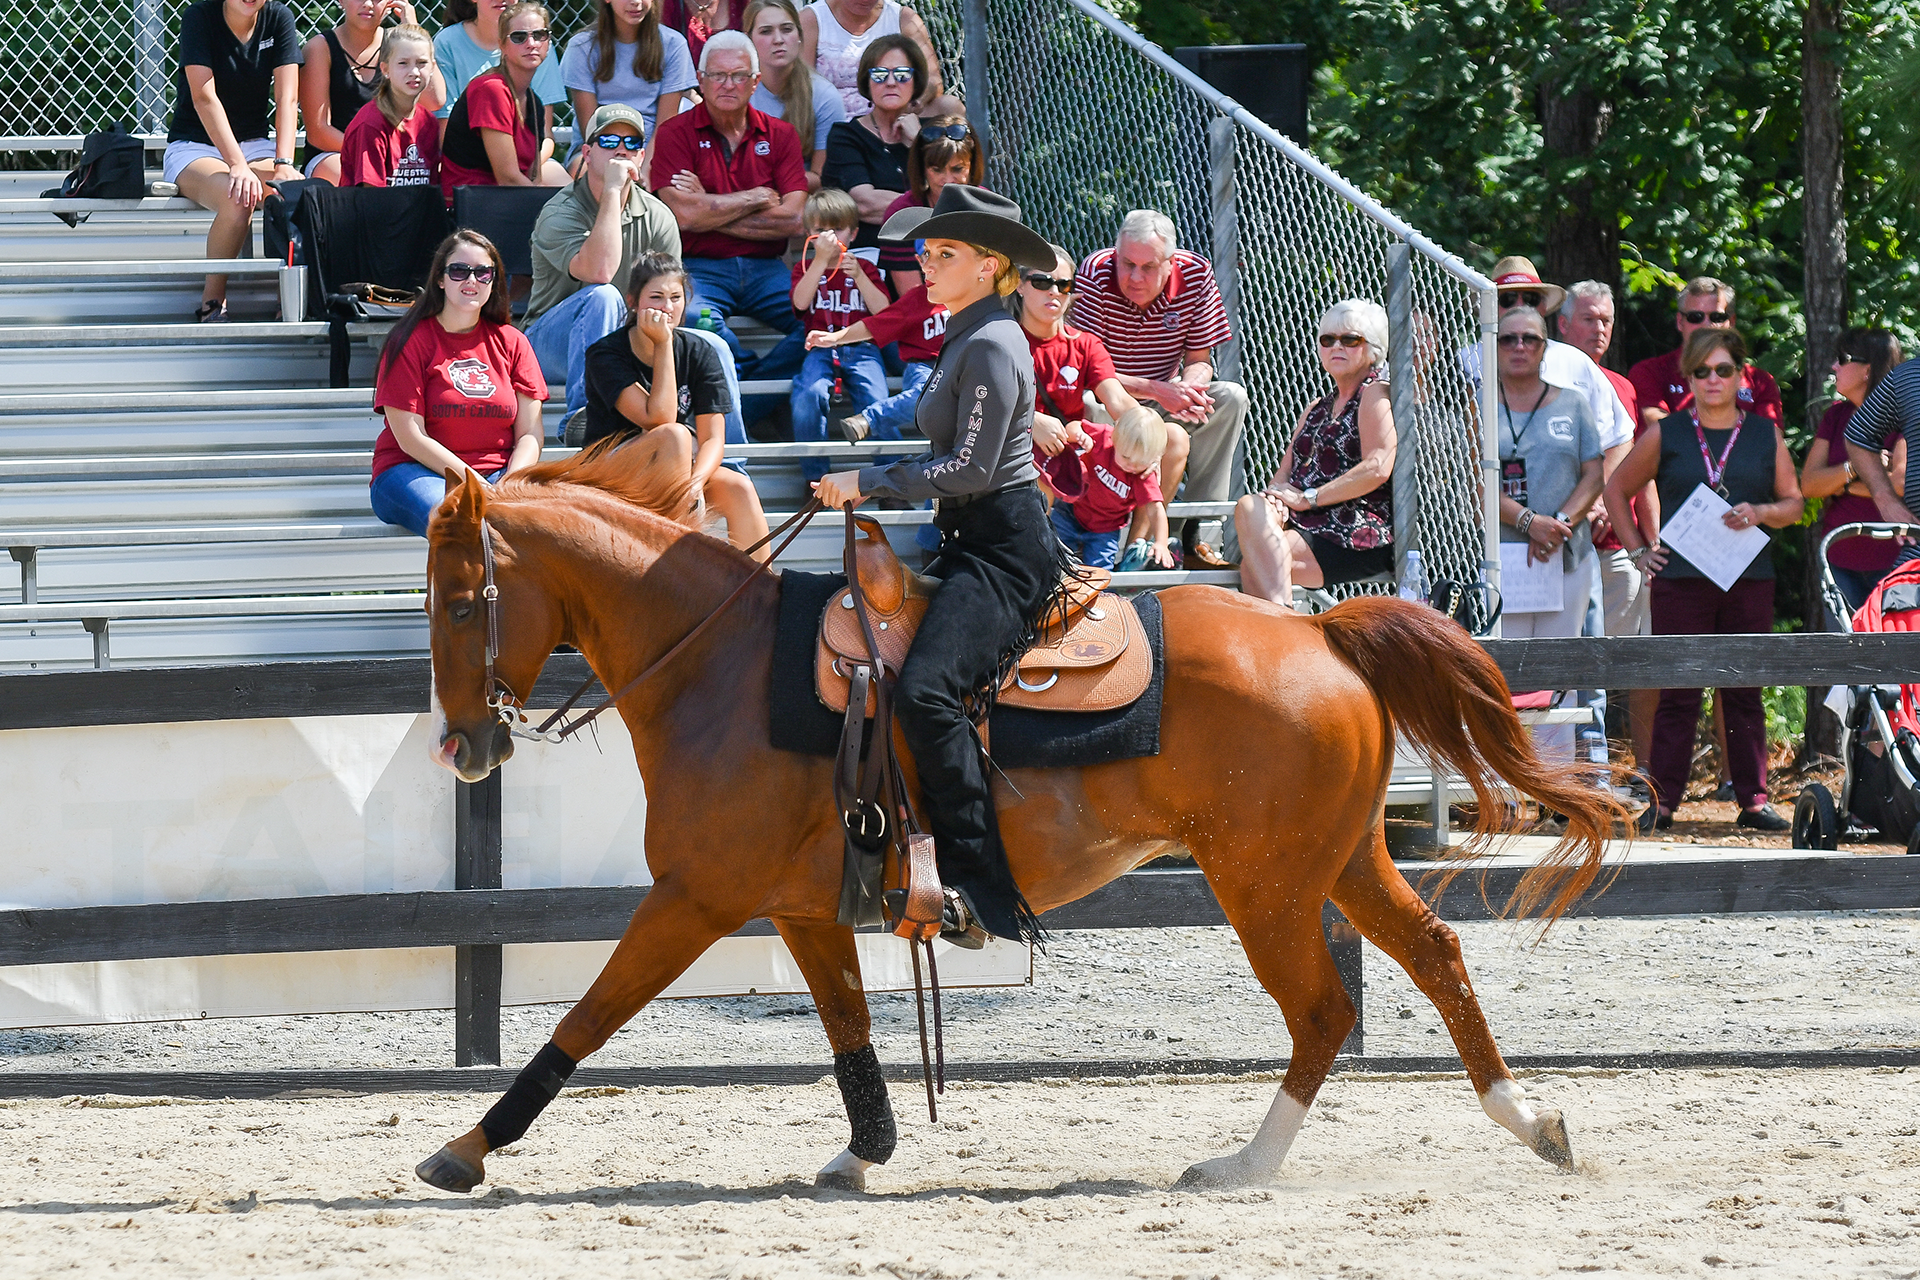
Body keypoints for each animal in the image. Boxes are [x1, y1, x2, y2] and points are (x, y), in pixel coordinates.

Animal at [416, 427, 1620, 1189]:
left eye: (464, 599)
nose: (464, 746)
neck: (722, 662)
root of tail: (1321, 631)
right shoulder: (804, 909)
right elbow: (849, 1029)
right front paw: (866, 1151)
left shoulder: (692, 897)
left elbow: (584, 1018)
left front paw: (467, 1147)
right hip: (1340, 861)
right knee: (1434, 954)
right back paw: (1535, 1119)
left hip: (1267, 882)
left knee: (1323, 1010)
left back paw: (1244, 1165)